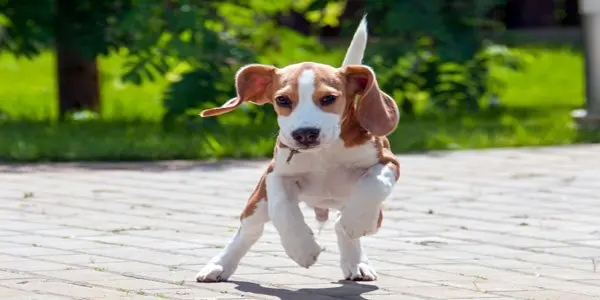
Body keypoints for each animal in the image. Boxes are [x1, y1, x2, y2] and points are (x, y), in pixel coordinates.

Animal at [196, 17, 398, 284]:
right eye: (282, 100)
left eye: (328, 98)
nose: (305, 133)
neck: (324, 153)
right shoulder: (275, 174)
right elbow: (283, 208)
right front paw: (302, 248)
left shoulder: (388, 162)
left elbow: (374, 182)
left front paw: (357, 221)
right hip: (258, 202)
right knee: (248, 231)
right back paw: (218, 265)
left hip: (372, 213)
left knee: (341, 223)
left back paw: (356, 261)